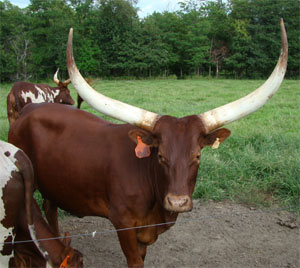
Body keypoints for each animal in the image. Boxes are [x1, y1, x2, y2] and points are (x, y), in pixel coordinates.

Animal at [8, 19, 288, 266]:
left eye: (197, 156)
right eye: (161, 156)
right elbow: (134, 261)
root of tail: (27, 110)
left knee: (51, 208)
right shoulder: (123, 223)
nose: (177, 202)